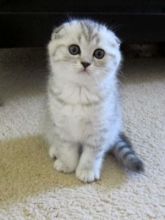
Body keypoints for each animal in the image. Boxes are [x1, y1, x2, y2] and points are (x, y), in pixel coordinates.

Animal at [44, 18, 143, 182]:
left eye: (99, 53)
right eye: (74, 49)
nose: (85, 63)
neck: (80, 92)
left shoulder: (99, 128)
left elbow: (91, 154)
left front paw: (86, 170)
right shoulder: (62, 125)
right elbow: (67, 148)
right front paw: (68, 165)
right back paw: (55, 150)